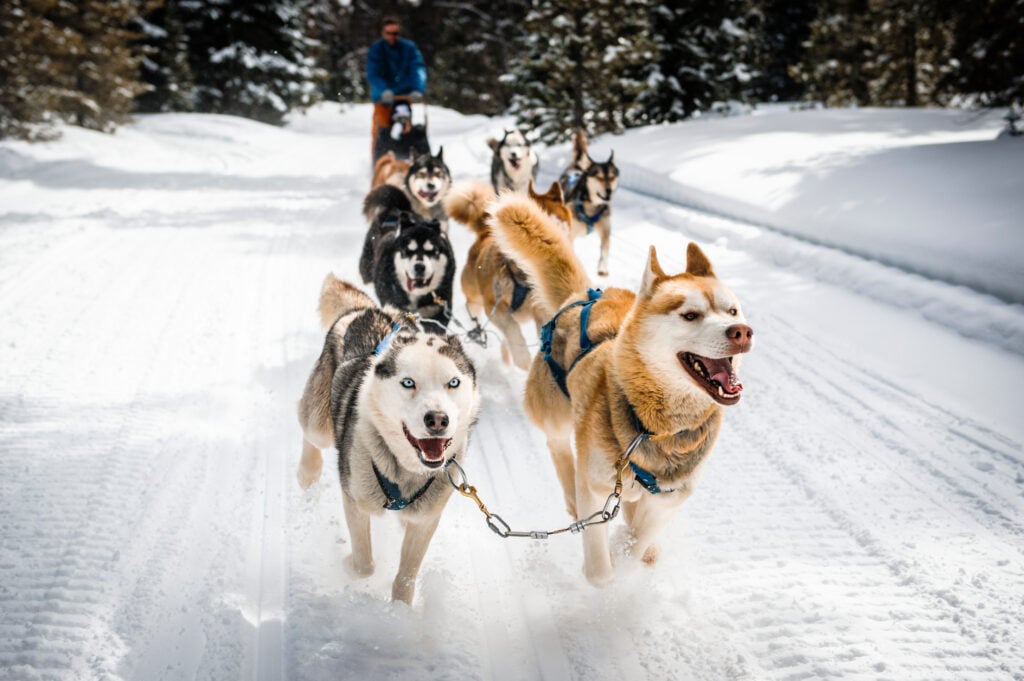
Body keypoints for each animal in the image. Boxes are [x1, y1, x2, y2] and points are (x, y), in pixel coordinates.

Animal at [296, 274, 479, 602]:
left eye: (453, 383)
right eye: (408, 382)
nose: (438, 420)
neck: (405, 471)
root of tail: (371, 310)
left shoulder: (425, 519)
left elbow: (407, 575)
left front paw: (401, 608)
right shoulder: (355, 499)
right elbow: (364, 564)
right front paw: (349, 564)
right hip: (319, 421)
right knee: (309, 429)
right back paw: (308, 472)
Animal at [360, 196, 456, 331]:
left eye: (432, 251)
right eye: (407, 251)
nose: (419, 267)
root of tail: (394, 209)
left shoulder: (436, 311)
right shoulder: (397, 308)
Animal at [448, 176, 577, 366]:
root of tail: (485, 232)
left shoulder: (540, 310)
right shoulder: (494, 305)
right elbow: (512, 330)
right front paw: (522, 358)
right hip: (475, 296)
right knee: (476, 312)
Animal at [483, 193, 757, 585]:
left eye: (732, 310)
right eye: (690, 315)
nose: (741, 331)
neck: (653, 429)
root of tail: (585, 295)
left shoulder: (669, 498)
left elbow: (639, 536)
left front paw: (634, 547)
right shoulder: (597, 488)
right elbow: (601, 570)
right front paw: (610, 561)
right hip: (555, 414)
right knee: (559, 449)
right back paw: (571, 491)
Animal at [557, 127, 618, 276]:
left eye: (612, 177)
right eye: (599, 177)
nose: (608, 190)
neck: (591, 206)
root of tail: (577, 166)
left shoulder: (605, 229)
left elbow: (605, 249)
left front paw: (602, 268)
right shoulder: (570, 234)